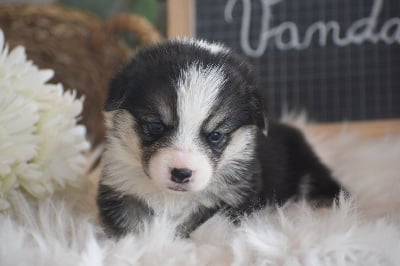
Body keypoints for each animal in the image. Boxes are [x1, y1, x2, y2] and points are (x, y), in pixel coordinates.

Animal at [96, 38, 340, 238]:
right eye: (156, 126)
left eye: (215, 135)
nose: (181, 173)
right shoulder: (120, 189)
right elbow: (133, 228)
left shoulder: (238, 196)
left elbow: (209, 227)